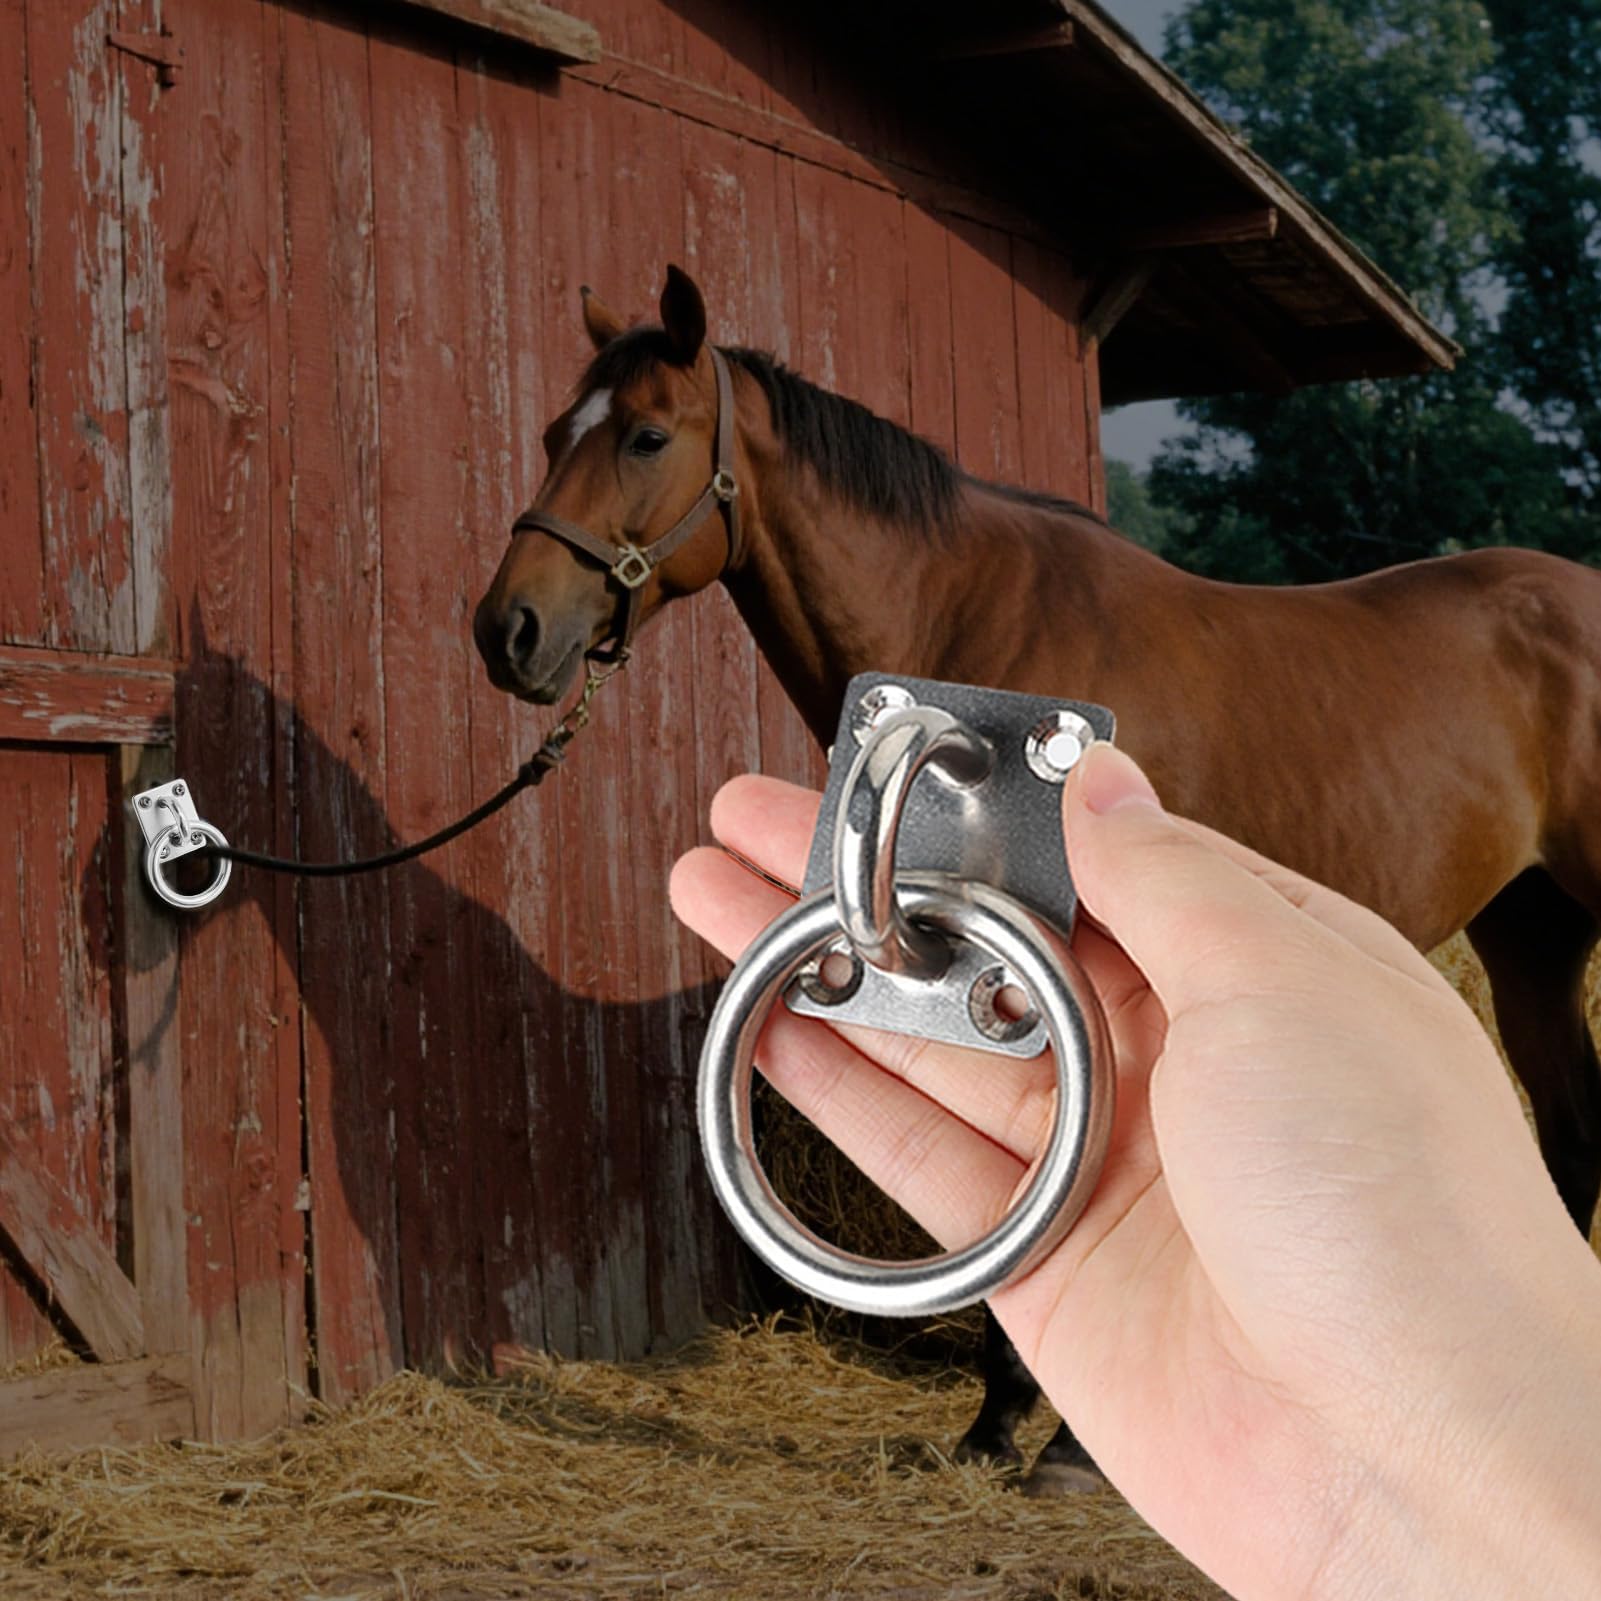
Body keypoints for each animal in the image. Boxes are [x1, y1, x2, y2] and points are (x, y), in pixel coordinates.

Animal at [473, 264, 1601, 1495]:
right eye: (550, 433)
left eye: (643, 435)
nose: (508, 628)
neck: (977, 629)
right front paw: (997, 1421)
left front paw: (1056, 1441)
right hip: (1530, 936)